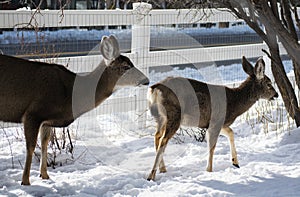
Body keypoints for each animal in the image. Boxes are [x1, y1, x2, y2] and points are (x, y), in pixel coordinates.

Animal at [0, 35, 149, 185]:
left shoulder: (46, 120)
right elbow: (30, 148)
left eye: (131, 63)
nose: (146, 80)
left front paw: (45, 175)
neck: (69, 93)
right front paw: (25, 181)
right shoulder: (33, 113)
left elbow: (44, 143)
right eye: (125, 67)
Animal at [148, 56, 278, 181]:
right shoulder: (216, 121)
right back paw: (151, 175)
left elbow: (231, 133)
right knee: (163, 140)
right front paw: (209, 171)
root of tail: (154, 89)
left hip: (161, 118)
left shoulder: (218, 123)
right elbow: (212, 146)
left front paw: (235, 162)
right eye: (269, 84)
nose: (276, 94)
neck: (234, 102)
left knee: (157, 136)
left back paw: (162, 169)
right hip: (174, 115)